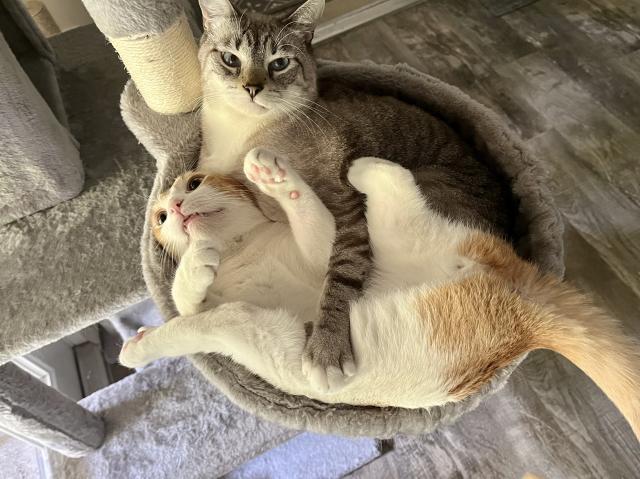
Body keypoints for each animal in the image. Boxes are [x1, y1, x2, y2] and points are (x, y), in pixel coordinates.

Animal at [121, 150, 640, 442]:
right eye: (160, 218)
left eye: (193, 183)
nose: (177, 209)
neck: (241, 250)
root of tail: (520, 310)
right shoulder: (252, 318)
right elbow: (190, 311)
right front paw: (191, 269)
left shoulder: (321, 258)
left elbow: (192, 320)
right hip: (405, 237)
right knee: (398, 187)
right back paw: (355, 170)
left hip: (395, 236)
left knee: (398, 183)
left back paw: (354, 169)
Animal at [195, 0, 516, 392]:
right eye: (230, 59)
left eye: (279, 63)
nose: (252, 88)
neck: (243, 134)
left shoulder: (347, 211)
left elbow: (342, 276)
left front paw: (327, 350)